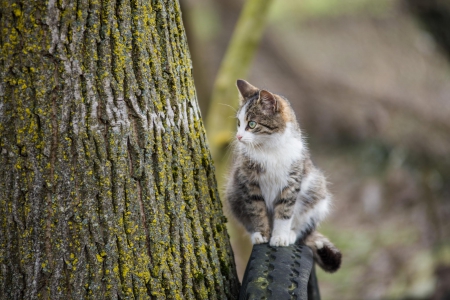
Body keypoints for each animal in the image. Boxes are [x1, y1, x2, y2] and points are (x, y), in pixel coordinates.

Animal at [225, 79, 342, 272]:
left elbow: (285, 210)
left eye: (251, 124)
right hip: (232, 192)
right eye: (238, 123)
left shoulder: (292, 178)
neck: (269, 149)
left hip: (316, 188)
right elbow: (256, 208)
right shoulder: (248, 180)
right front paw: (261, 234)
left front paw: (280, 237)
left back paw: (291, 234)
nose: (239, 136)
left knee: (304, 227)